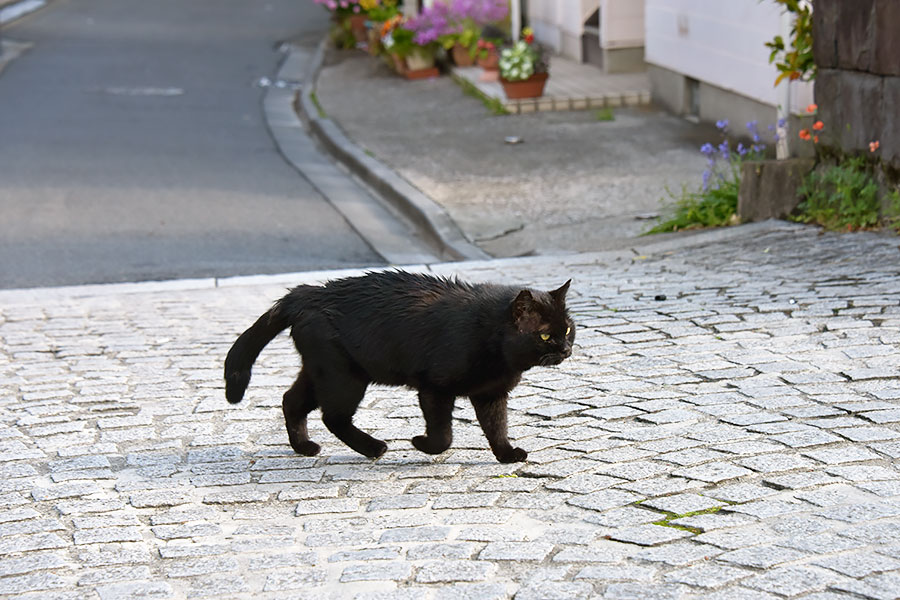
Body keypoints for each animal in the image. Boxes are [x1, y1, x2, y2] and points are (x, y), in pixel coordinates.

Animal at [225, 272, 576, 464]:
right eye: (546, 335)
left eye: (569, 329)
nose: (566, 349)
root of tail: (306, 293)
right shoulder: (435, 388)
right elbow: (443, 435)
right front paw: (421, 444)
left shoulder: (491, 395)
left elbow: (497, 428)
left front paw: (506, 455)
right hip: (343, 378)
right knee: (332, 417)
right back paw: (373, 448)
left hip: (320, 373)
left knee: (291, 401)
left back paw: (305, 447)